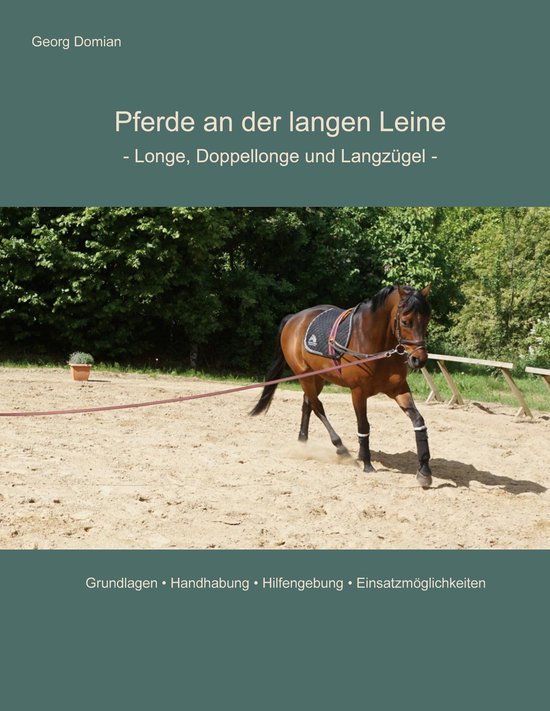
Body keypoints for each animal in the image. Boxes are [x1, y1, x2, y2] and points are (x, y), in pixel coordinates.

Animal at [250, 285, 433, 487]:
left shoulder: (399, 389)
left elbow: (419, 422)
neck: (371, 342)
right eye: (405, 321)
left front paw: (424, 471)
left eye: (427, 319)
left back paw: (303, 441)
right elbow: (363, 426)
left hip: (317, 378)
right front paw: (367, 463)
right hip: (305, 377)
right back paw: (340, 447)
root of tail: (294, 318)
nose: (419, 359)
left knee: (307, 404)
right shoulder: (358, 392)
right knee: (317, 407)